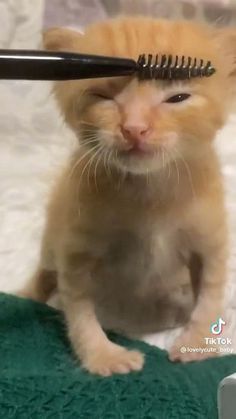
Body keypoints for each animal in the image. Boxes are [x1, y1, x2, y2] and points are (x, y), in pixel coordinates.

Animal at [20, 17, 236, 378]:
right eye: (102, 95)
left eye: (177, 97)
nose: (134, 129)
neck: (150, 189)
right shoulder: (76, 249)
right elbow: (79, 309)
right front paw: (102, 355)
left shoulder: (210, 241)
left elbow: (210, 293)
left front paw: (196, 342)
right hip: (53, 237)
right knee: (46, 270)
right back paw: (28, 294)